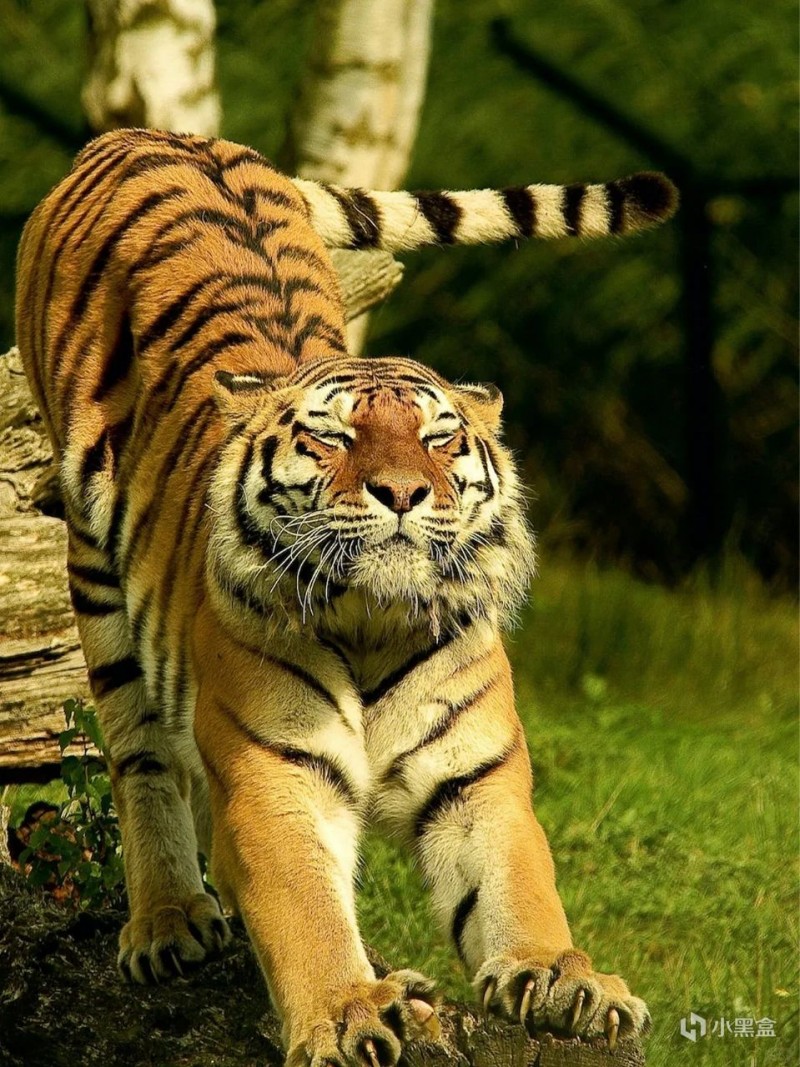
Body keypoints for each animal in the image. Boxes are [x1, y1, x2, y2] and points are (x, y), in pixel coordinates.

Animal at [15, 127, 675, 1067]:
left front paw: (565, 976)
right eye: (334, 436)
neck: (374, 622)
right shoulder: (274, 774)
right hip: (94, 569)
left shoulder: (477, 778)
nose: (402, 491)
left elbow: (520, 884)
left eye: (440, 438)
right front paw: (347, 1010)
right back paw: (168, 921)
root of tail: (150, 134)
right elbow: (304, 911)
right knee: (139, 753)